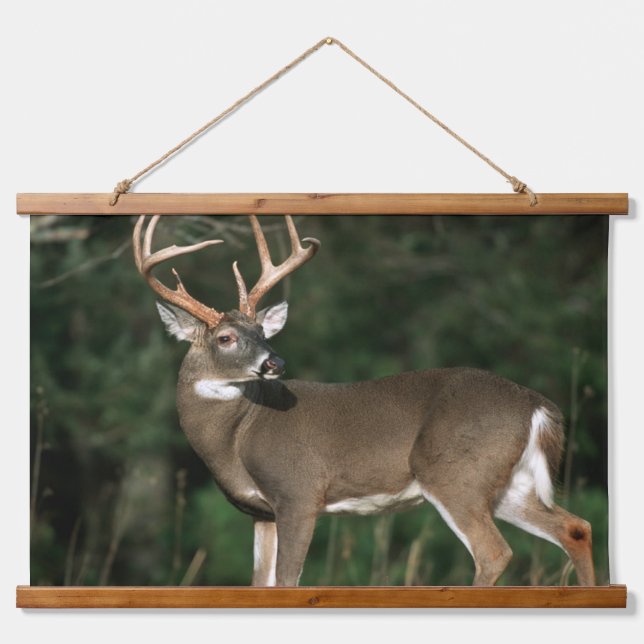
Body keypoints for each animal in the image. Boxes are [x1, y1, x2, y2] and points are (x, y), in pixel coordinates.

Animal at [133, 213, 595, 587]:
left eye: (263, 332)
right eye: (226, 338)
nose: (274, 362)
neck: (237, 437)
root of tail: (536, 405)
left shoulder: (298, 492)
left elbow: (287, 580)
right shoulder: (262, 512)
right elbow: (260, 583)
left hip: (455, 472)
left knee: (494, 553)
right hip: (507, 483)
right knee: (576, 528)